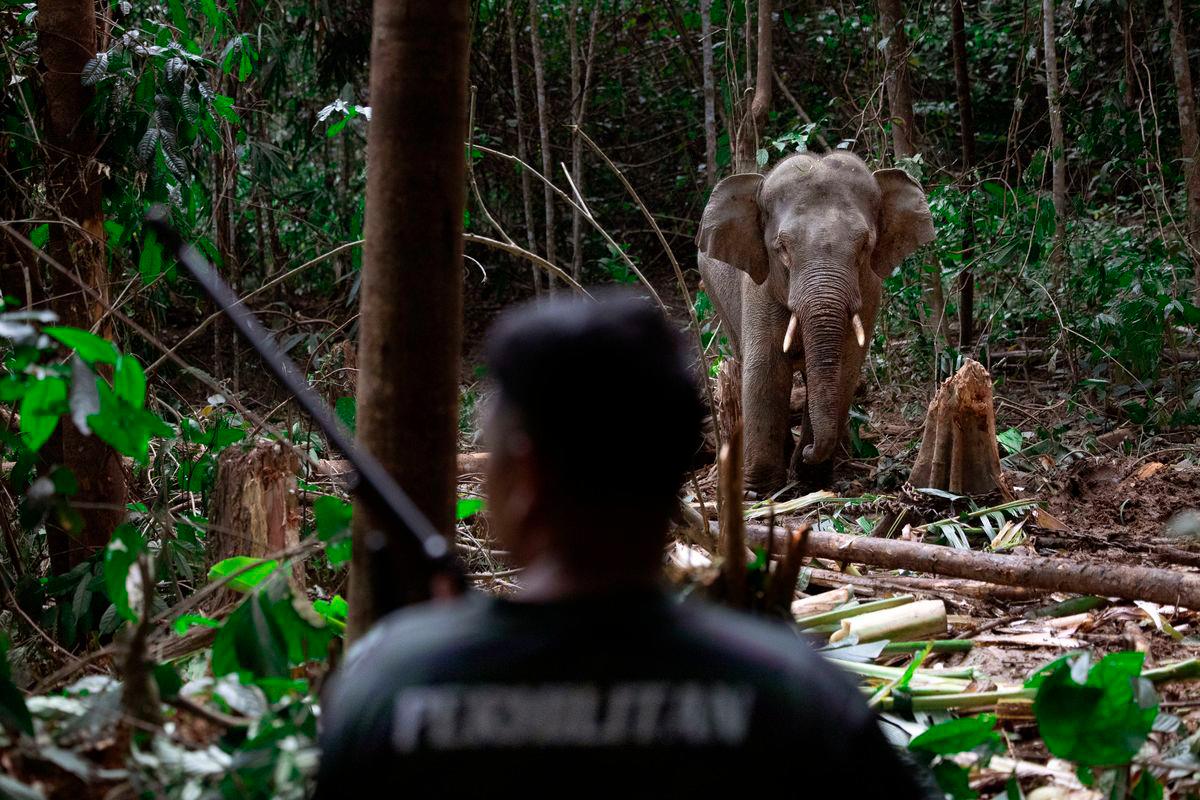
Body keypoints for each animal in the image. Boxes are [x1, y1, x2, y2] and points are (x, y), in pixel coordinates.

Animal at [697, 151, 934, 491]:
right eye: (781, 248)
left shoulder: (870, 291)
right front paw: (761, 490)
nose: (808, 450)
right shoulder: (758, 287)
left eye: (865, 246)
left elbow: (846, 366)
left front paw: (811, 481)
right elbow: (766, 370)